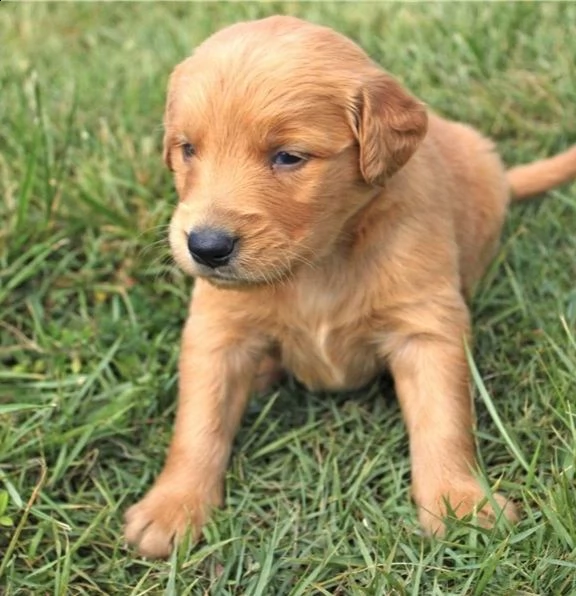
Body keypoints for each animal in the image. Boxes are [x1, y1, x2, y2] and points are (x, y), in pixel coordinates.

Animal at [125, 16, 576, 560]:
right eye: (188, 149)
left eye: (289, 157)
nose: (205, 246)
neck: (319, 262)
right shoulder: (217, 328)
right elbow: (197, 423)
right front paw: (174, 506)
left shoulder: (425, 323)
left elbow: (444, 420)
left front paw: (459, 503)